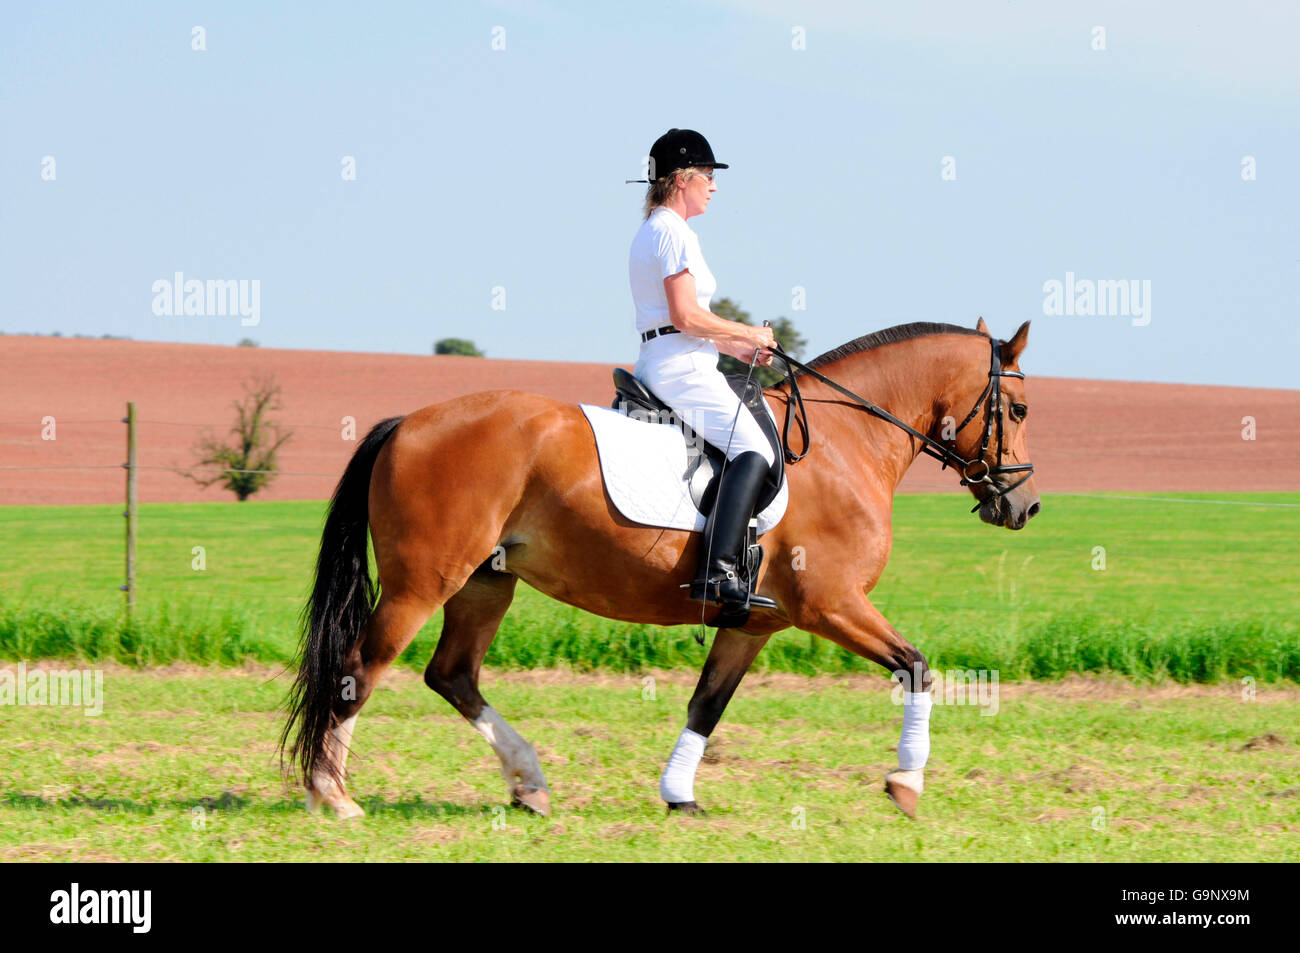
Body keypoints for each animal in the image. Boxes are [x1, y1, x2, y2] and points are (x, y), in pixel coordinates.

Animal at [280, 318, 1040, 820]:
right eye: (1021, 407)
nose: (1023, 504)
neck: (845, 442)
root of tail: (408, 423)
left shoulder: (753, 625)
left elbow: (707, 704)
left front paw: (679, 795)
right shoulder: (832, 603)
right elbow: (918, 667)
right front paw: (907, 784)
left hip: (485, 582)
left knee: (452, 675)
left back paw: (528, 783)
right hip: (423, 582)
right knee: (360, 667)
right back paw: (333, 796)